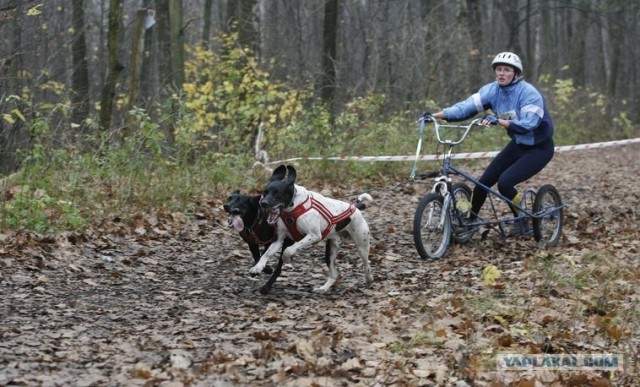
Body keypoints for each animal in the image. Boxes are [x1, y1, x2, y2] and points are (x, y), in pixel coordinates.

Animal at [248, 164, 372, 294]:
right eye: (265, 192)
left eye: (277, 193)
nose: (263, 203)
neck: (293, 207)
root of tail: (356, 207)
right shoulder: (278, 239)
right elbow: (266, 254)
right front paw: (257, 267)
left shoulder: (313, 235)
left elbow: (288, 250)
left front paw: (286, 258)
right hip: (331, 250)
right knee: (334, 274)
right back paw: (323, 288)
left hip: (362, 245)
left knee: (366, 263)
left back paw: (369, 279)